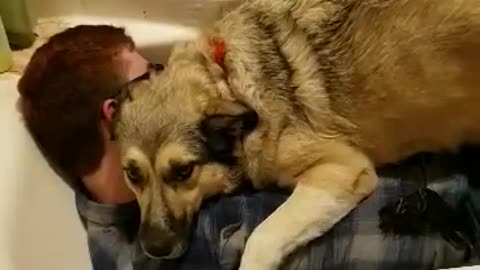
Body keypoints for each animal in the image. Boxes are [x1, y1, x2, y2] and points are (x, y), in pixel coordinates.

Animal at [110, 1, 480, 268]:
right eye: (132, 175)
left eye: (184, 171)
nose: (154, 249)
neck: (226, 78)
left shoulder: (342, 170)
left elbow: (262, 236)